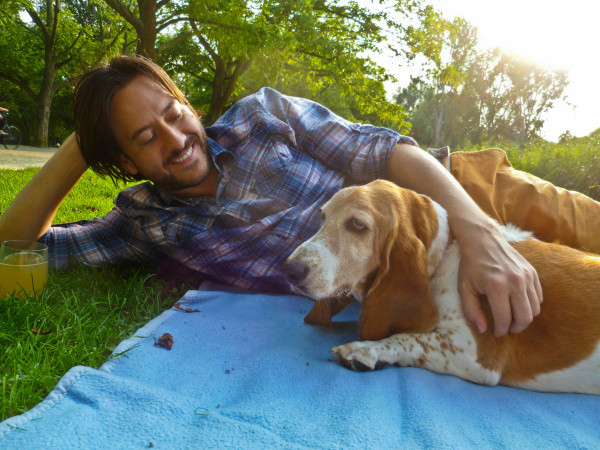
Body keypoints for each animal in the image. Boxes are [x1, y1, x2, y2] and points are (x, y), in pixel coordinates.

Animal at [284, 179, 600, 394]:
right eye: (323, 217)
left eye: (358, 225)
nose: (290, 269)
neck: (445, 252)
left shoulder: (477, 354)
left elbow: (409, 338)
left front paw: (367, 350)